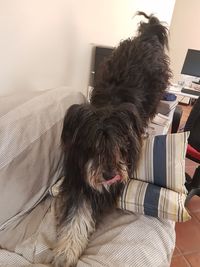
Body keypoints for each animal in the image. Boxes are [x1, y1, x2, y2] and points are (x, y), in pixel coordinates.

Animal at [53, 11, 172, 266]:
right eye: (93, 146)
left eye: (121, 145)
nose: (109, 175)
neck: (110, 105)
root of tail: (148, 35)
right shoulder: (79, 177)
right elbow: (77, 213)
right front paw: (66, 252)